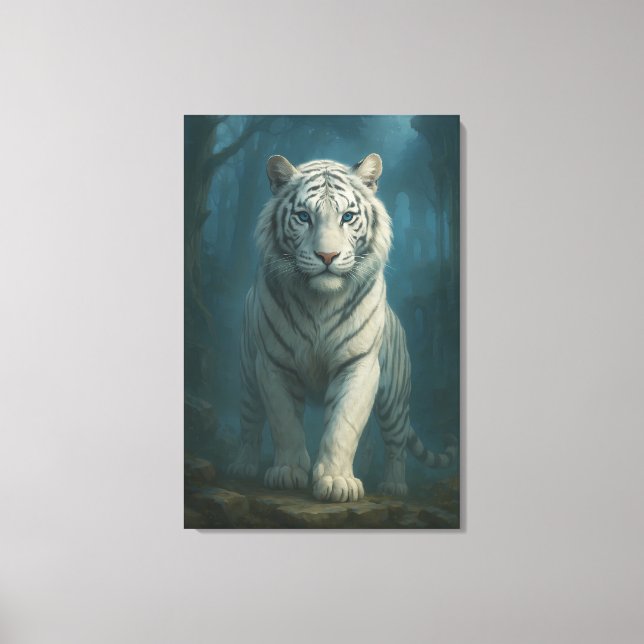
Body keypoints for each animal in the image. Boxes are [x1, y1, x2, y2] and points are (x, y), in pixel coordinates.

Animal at [227, 153, 457, 502]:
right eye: (303, 217)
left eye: (347, 217)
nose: (327, 256)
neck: (320, 301)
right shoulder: (274, 365)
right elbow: (284, 421)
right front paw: (288, 471)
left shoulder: (358, 364)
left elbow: (344, 425)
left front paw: (337, 481)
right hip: (248, 378)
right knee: (250, 424)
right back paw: (243, 466)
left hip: (394, 398)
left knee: (395, 445)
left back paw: (393, 485)